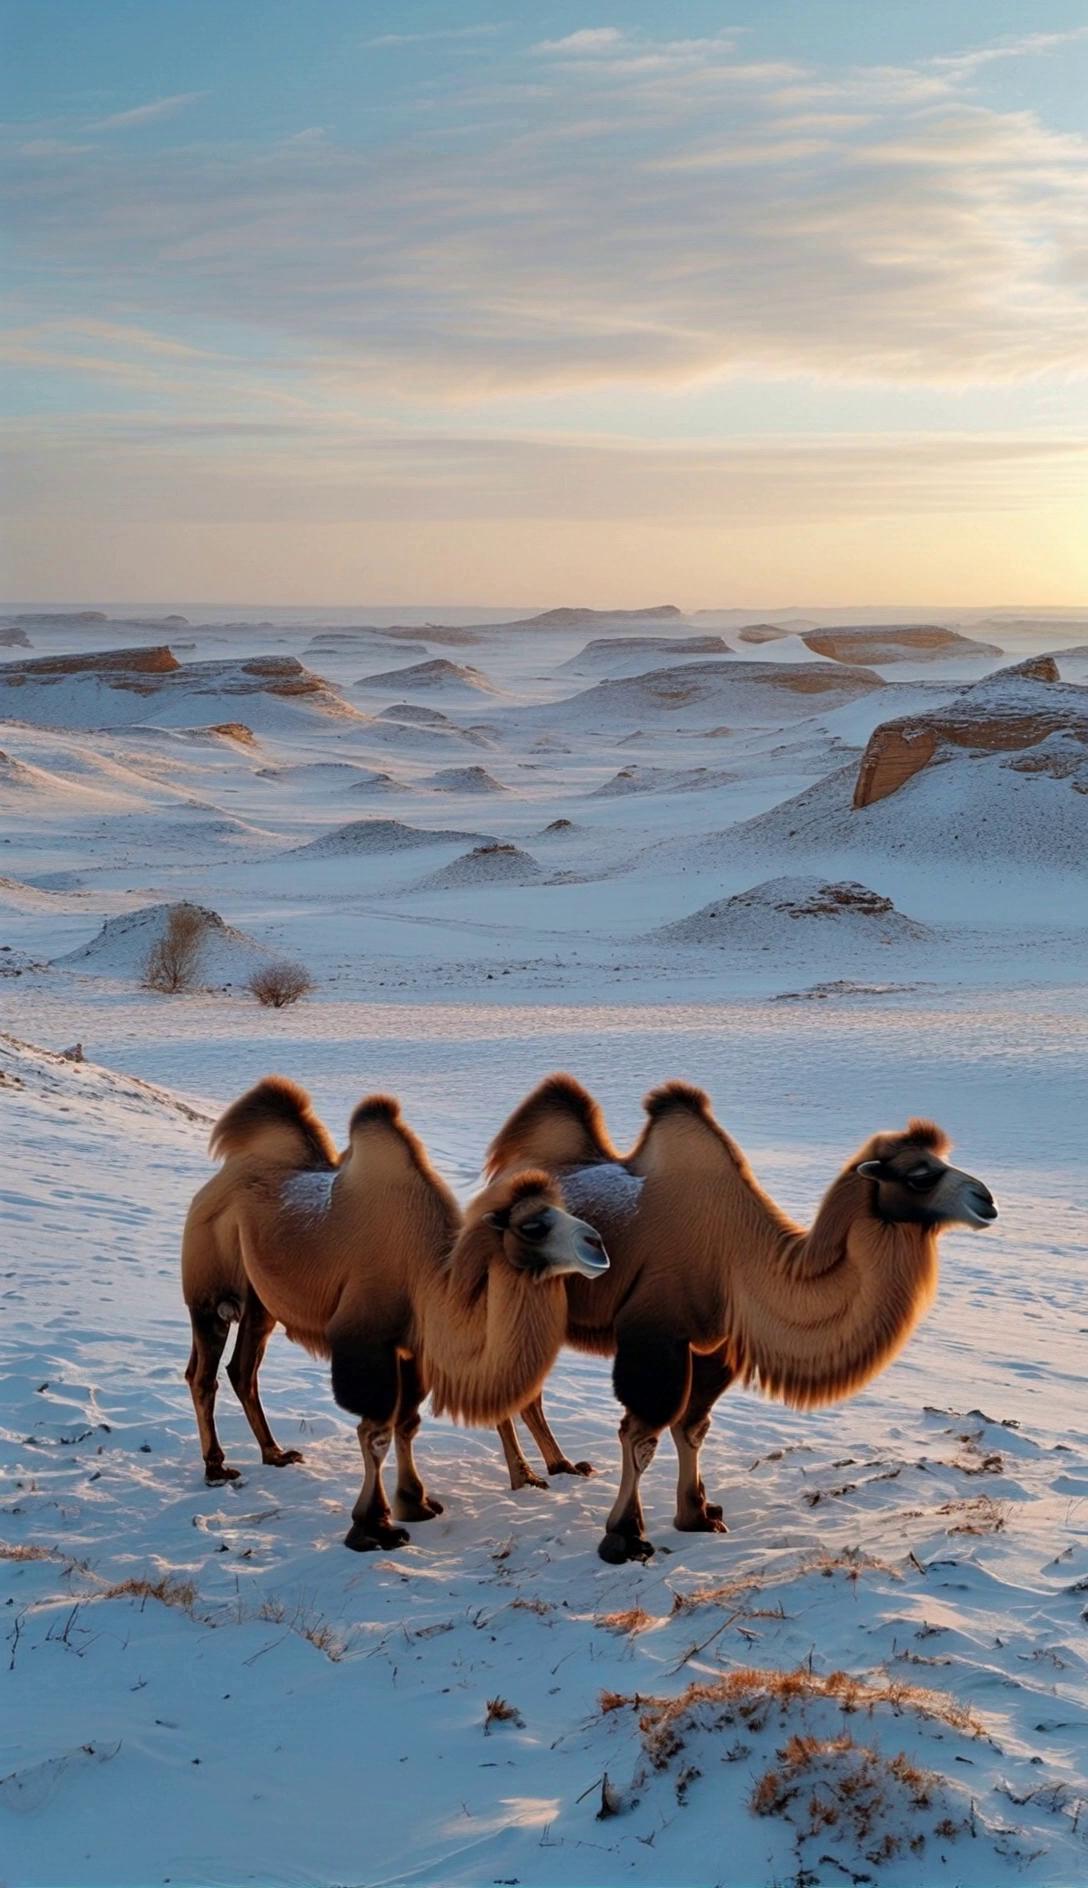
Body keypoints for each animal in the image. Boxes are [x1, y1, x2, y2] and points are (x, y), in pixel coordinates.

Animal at [182, 1076, 608, 1551]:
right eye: (532, 1226)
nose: (597, 1244)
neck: (425, 1277)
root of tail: (215, 1182)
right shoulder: (366, 1341)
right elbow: (376, 1432)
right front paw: (373, 1527)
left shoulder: (412, 1349)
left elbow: (407, 1424)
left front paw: (415, 1503)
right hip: (207, 1281)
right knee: (203, 1373)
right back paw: (216, 1467)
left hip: (259, 1303)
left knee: (243, 1369)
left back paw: (275, 1454)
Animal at [486, 1075, 997, 1563]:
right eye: (920, 1175)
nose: (987, 1200)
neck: (738, 1255)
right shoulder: (656, 1336)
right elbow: (642, 1436)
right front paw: (624, 1537)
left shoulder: (713, 1344)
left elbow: (692, 1427)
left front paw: (697, 1515)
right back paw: (524, 1477)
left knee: (527, 1391)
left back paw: (562, 1467)